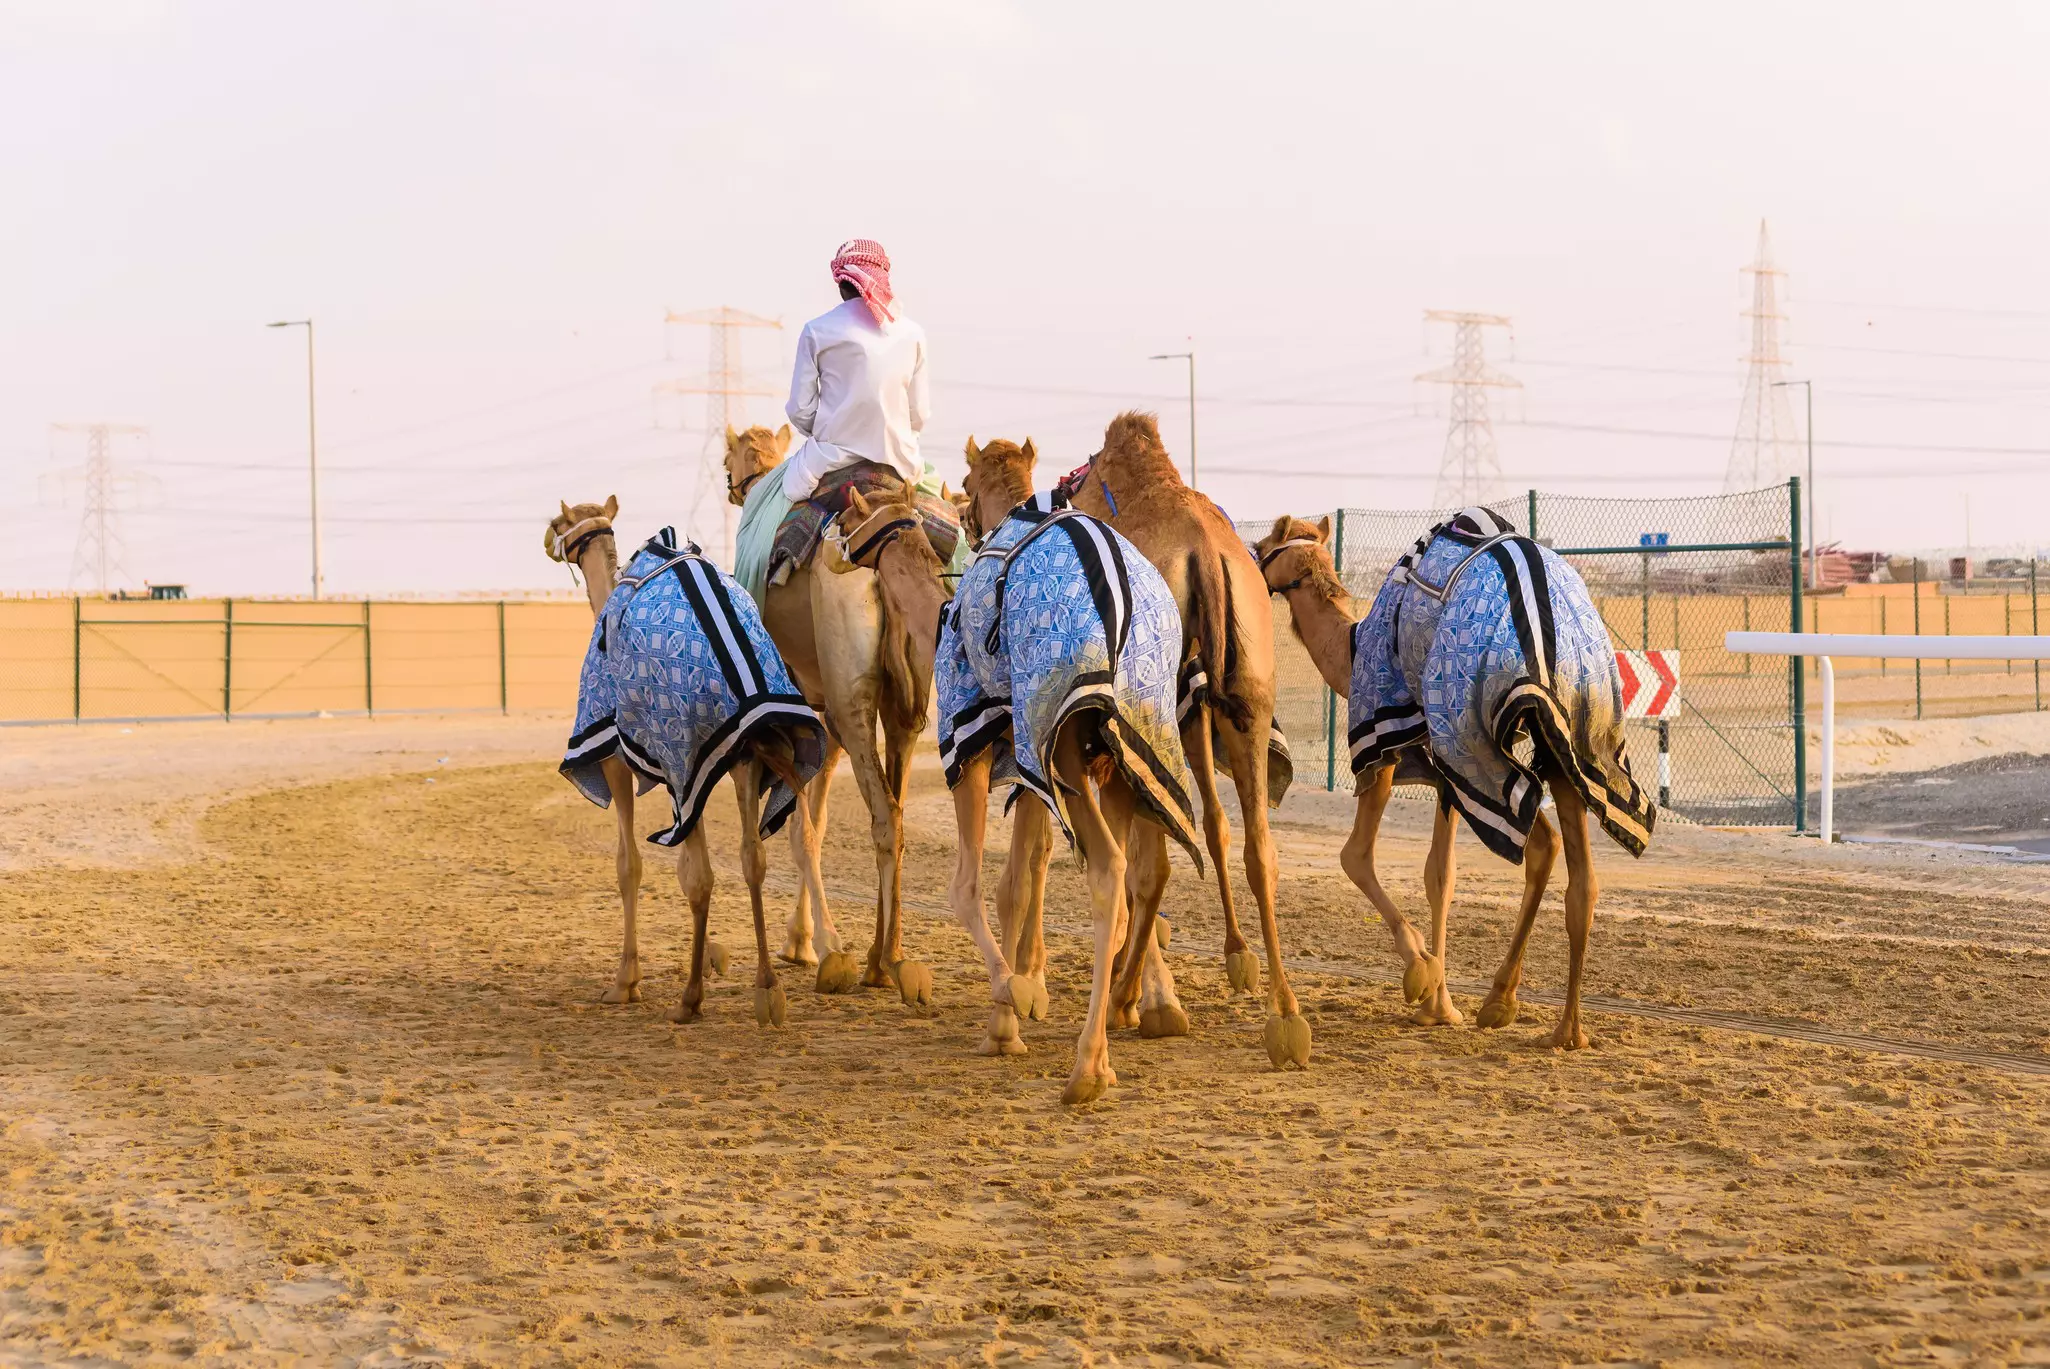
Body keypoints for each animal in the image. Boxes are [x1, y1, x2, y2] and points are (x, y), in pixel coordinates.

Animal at [545, 499, 834, 1026]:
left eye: (560, 522)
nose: (545, 539)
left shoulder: (620, 761)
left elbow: (631, 865)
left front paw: (626, 981)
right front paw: (717, 958)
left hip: (687, 756)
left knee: (701, 876)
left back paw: (691, 997)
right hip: (745, 758)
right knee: (753, 857)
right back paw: (769, 986)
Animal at [723, 425, 935, 1008]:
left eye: (727, 461)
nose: (732, 485)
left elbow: (800, 828)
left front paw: (816, 946)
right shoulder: (825, 716)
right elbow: (811, 824)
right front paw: (808, 943)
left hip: (850, 697)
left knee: (884, 813)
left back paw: (878, 961)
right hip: (898, 705)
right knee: (896, 812)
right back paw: (886, 958)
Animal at [830, 456, 1210, 1101]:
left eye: (847, 514)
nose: (831, 546)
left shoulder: (978, 747)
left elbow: (968, 887)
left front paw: (1017, 999)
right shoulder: (1032, 762)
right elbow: (1016, 884)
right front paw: (1005, 1024)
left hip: (1063, 733)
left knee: (1108, 867)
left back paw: (1087, 1068)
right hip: (1114, 738)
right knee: (1127, 872)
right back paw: (1114, 1039)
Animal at [1063, 412, 1308, 1061]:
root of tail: (1204, 553)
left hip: (1159, 711)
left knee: (1156, 861)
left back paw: (1129, 1000)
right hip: (1248, 694)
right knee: (1257, 848)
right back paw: (1285, 1016)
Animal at [1254, 513, 1654, 1048]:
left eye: (1264, 545)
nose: (1250, 557)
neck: (1353, 649)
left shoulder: (1401, 746)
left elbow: (1398, 865)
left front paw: (1429, 991)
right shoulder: (1452, 769)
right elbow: (1454, 870)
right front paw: (1449, 996)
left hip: (1477, 739)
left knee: (1542, 849)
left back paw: (1523, 1010)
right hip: (1566, 733)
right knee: (1576, 876)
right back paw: (1552, 1024)